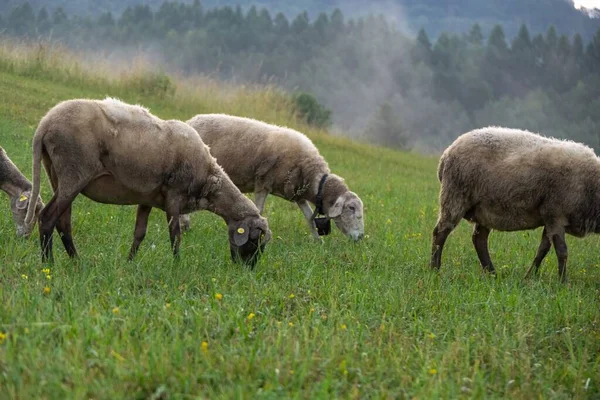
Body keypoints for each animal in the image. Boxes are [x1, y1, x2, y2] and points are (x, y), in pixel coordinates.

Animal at [183, 114, 364, 242]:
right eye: (351, 208)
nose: (361, 237)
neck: (311, 174)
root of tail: (190, 121)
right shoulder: (263, 183)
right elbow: (259, 209)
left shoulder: (298, 195)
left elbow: (310, 218)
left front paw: (318, 242)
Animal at [428, 126, 600, 282]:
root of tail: (446, 154)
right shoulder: (555, 214)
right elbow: (561, 250)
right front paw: (562, 282)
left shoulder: (549, 218)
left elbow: (543, 249)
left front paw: (529, 277)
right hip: (455, 195)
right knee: (440, 232)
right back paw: (435, 270)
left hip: (484, 209)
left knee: (479, 239)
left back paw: (492, 274)